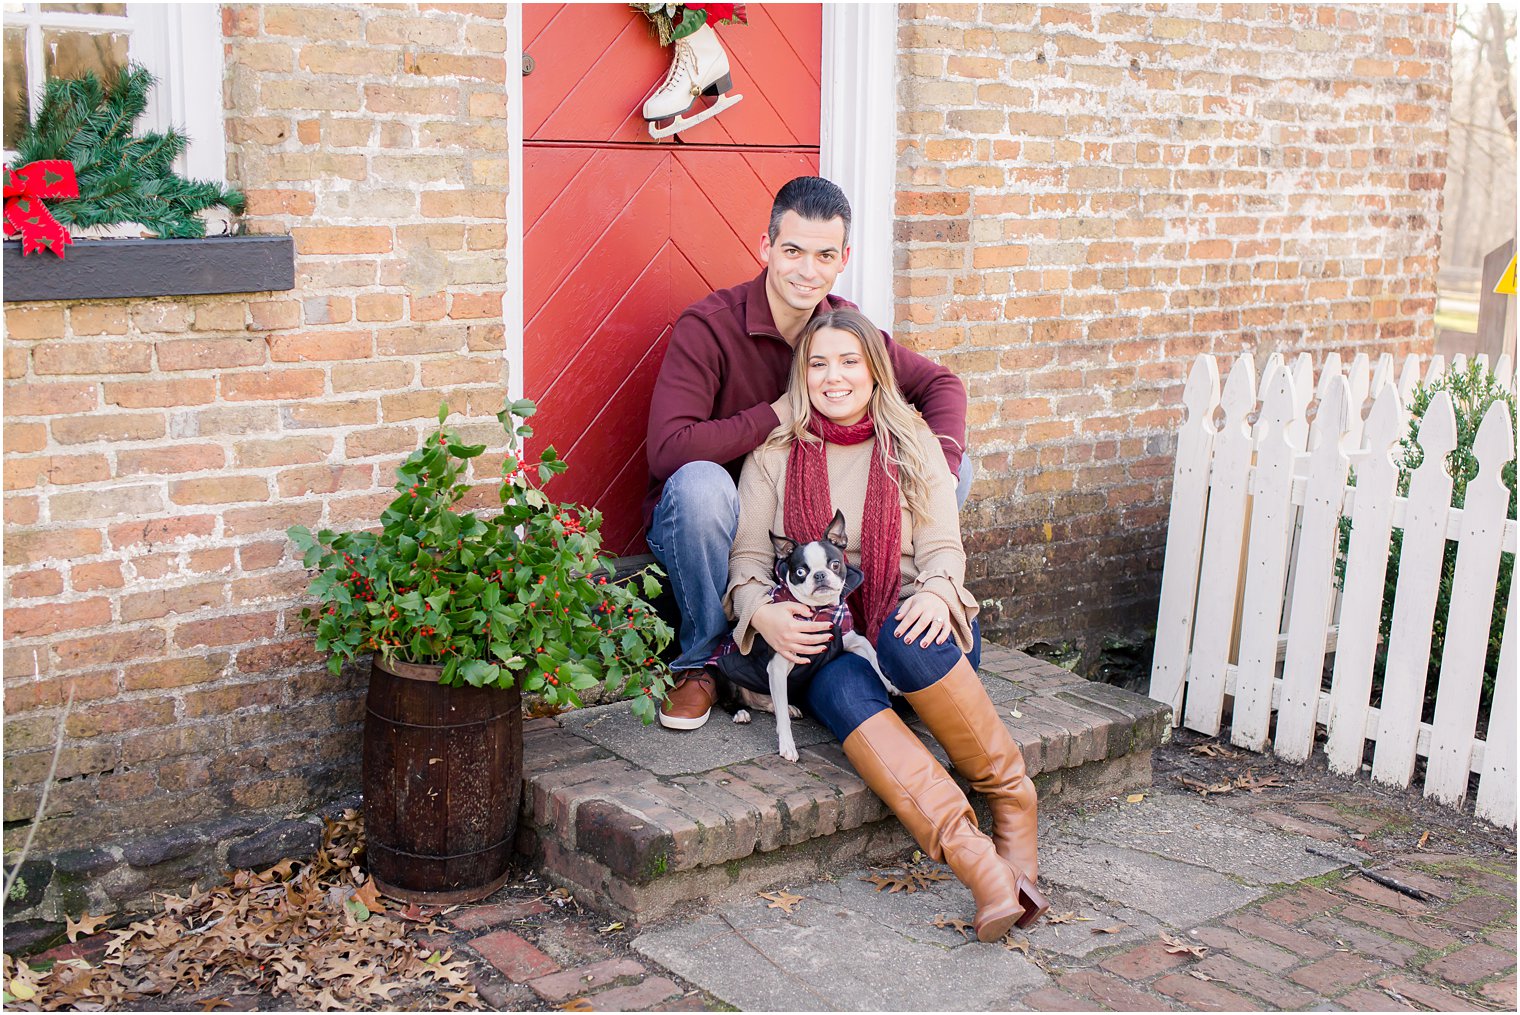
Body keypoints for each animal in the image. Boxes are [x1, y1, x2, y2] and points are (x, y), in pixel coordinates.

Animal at [705, 510, 893, 756]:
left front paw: (890, 683)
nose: (820, 575)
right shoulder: (777, 666)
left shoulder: (852, 639)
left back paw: (786, 707)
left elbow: (873, 654)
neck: (819, 611)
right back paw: (741, 712)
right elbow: (783, 721)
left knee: (769, 703)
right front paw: (787, 746)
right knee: (733, 702)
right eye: (801, 572)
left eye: (835, 564)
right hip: (726, 677)